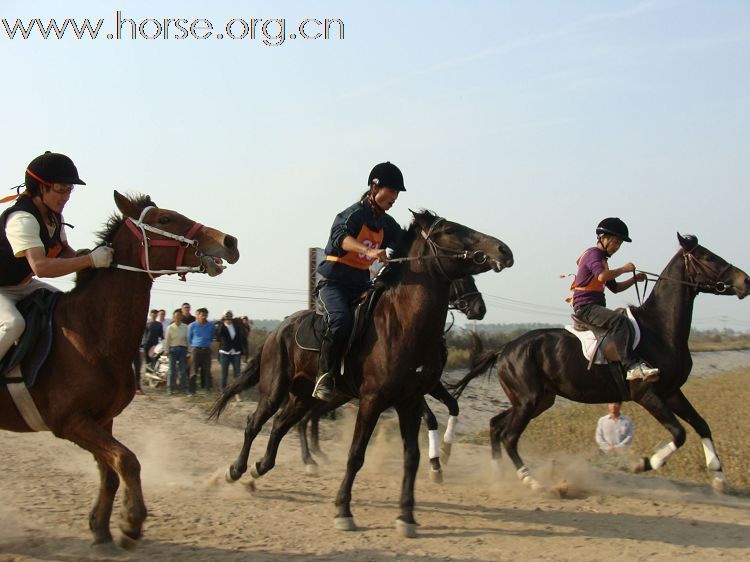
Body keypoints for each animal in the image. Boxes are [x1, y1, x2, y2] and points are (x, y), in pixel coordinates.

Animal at [0, 192, 239, 548]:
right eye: (164, 219)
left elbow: (111, 472)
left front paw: (101, 527)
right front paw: (130, 523)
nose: (229, 241)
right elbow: (128, 461)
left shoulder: (102, 419)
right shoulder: (70, 421)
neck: (89, 334)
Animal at [296, 272, 490, 482]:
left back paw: (317, 455)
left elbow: (453, 405)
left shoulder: (429, 385)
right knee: (306, 418)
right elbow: (430, 418)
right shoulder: (411, 390)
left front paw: (445, 451)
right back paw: (309, 459)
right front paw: (435, 463)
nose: (480, 308)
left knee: (311, 416)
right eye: (461, 279)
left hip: (339, 396)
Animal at [450, 234, 748, 492]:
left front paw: (719, 477)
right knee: (509, 436)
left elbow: (701, 425)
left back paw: (498, 475)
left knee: (496, 425)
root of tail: (506, 348)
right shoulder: (647, 394)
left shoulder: (672, 392)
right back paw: (530, 481)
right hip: (528, 400)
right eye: (707, 257)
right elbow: (679, 433)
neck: (659, 329)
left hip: (538, 400)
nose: (745, 281)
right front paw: (645, 463)